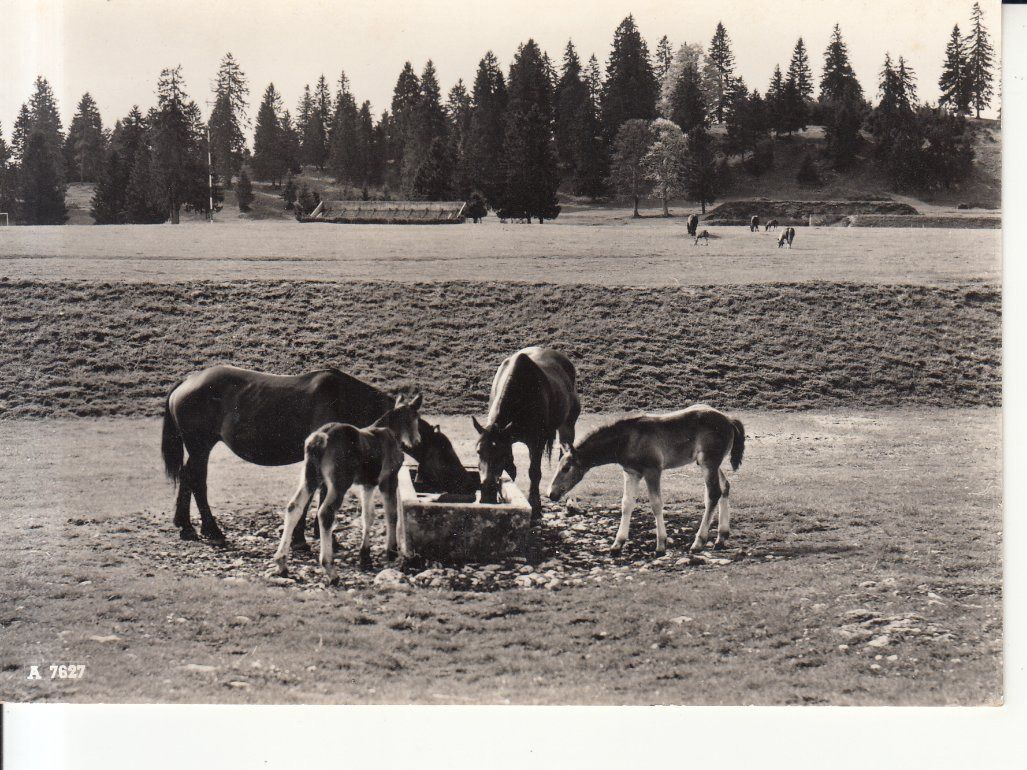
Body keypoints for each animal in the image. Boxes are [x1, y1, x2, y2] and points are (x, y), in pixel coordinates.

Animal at [162, 365, 471, 545]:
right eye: (445, 452)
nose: (466, 481)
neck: (344, 400)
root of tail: (186, 382)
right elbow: (318, 495)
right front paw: (308, 537)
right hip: (201, 445)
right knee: (196, 480)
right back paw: (210, 530)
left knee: (187, 477)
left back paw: (185, 525)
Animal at [272, 396, 421, 582]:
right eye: (416, 417)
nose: (417, 440)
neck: (392, 431)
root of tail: (319, 439)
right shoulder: (388, 479)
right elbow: (391, 514)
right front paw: (391, 551)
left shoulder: (367, 484)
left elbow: (368, 516)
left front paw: (365, 557)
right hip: (339, 483)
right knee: (326, 513)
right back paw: (330, 570)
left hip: (310, 477)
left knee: (294, 506)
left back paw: (282, 562)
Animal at [472, 347, 580, 521]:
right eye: (478, 451)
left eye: (499, 455)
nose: (487, 492)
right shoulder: (507, 438)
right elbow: (510, 469)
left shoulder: (536, 442)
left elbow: (534, 472)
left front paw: (535, 507)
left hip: (568, 425)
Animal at [547, 405, 745, 555]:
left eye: (566, 468)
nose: (551, 493)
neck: (628, 439)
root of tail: (728, 420)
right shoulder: (631, 473)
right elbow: (627, 504)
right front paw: (617, 544)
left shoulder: (652, 471)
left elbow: (656, 504)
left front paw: (661, 544)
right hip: (710, 465)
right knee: (725, 487)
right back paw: (721, 537)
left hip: (708, 463)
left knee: (713, 494)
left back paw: (698, 542)